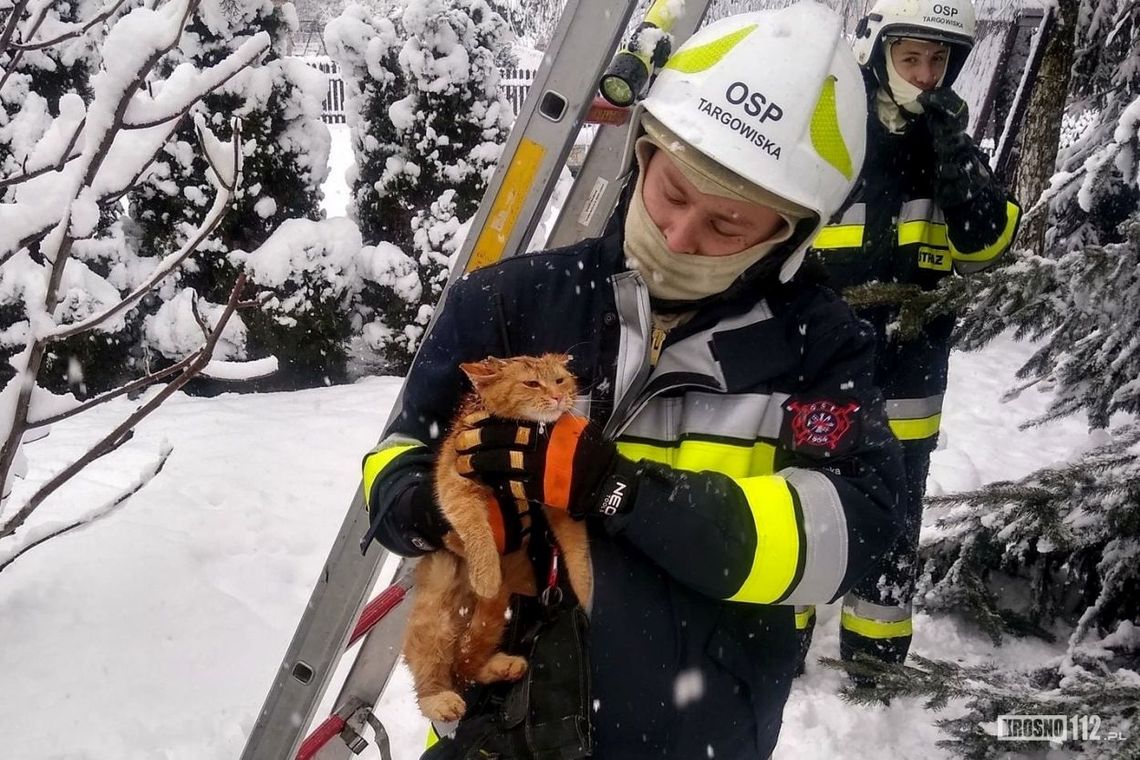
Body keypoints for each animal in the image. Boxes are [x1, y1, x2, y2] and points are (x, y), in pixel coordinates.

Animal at [403, 357, 597, 724]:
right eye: (532, 383)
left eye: (560, 380)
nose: (557, 397)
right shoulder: (454, 485)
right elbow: (475, 529)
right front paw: (486, 574)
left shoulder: (557, 497)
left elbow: (577, 547)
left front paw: (586, 587)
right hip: (434, 617)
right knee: (432, 677)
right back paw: (440, 699)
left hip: (501, 612)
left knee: (468, 665)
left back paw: (504, 665)